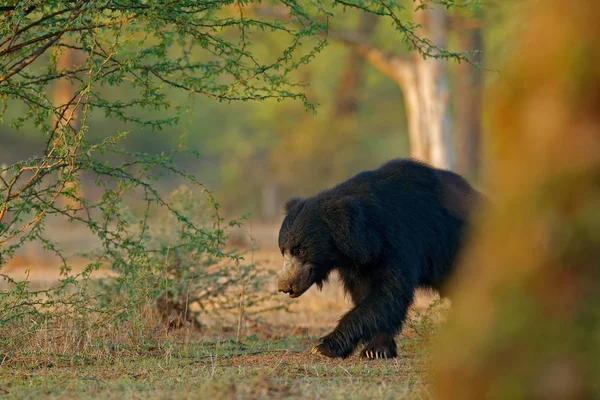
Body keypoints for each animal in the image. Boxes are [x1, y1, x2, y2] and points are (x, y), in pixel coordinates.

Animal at [278, 159, 486, 360]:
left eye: (301, 250)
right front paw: (377, 349)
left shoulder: (399, 241)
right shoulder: (359, 264)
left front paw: (323, 347)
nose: (284, 286)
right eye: (284, 251)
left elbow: (389, 293)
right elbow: (368, 295)